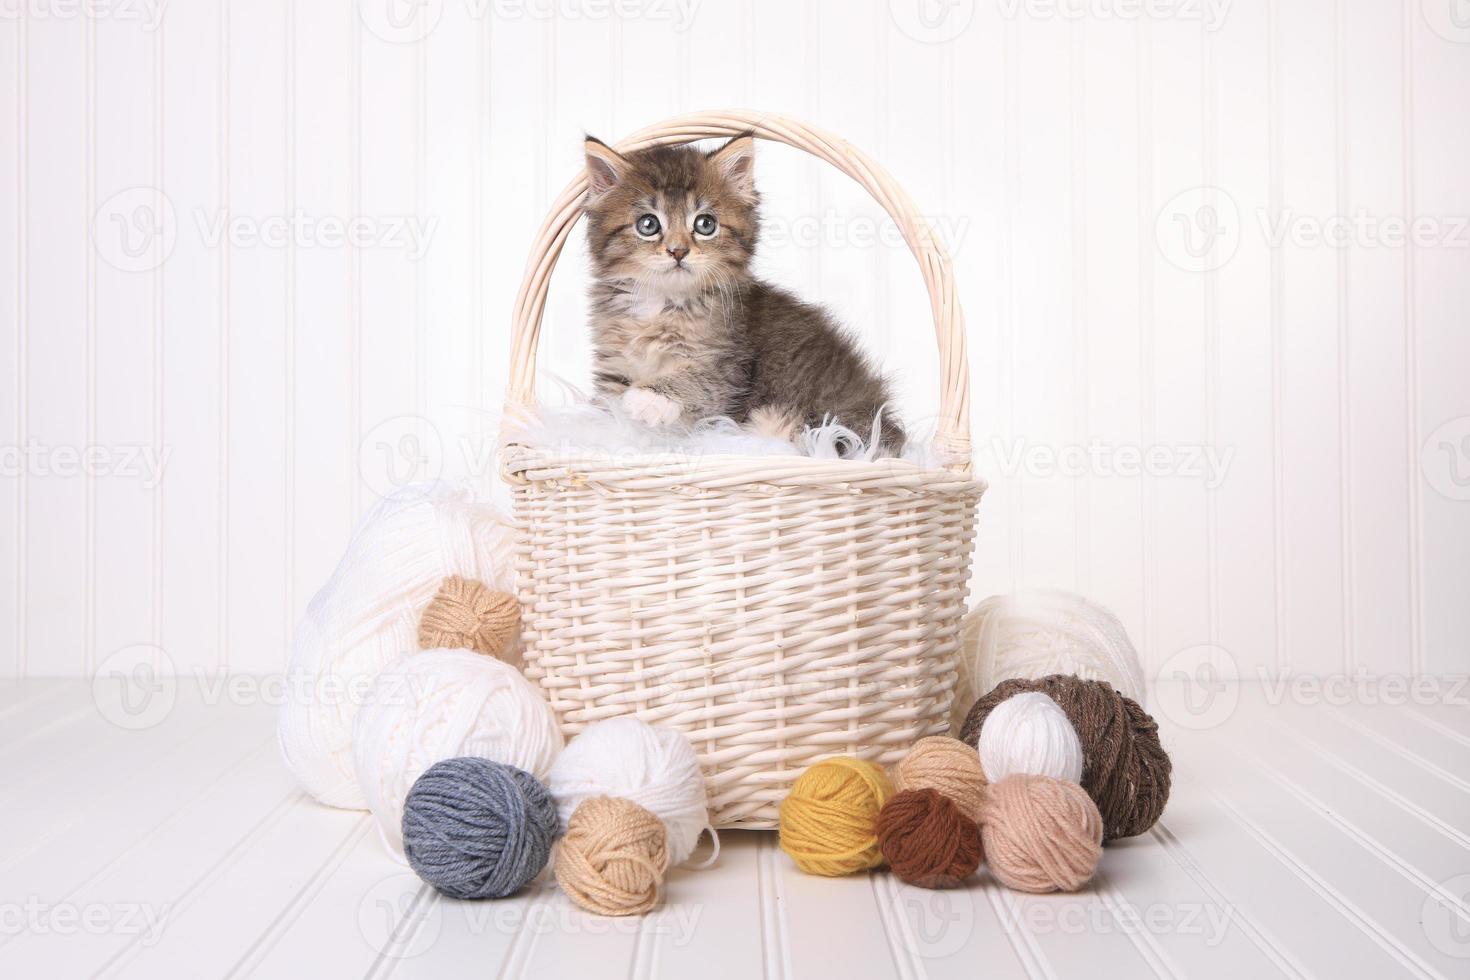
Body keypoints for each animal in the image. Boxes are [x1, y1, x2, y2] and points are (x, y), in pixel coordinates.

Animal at [579, 132, 899, 458]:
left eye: (705, 224)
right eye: (648, 224)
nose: (678, 251)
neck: (663, 305)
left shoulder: (729, 366)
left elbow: (698, 380)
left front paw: (647, 398)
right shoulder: (613, 366)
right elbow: (608, 404)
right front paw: (614, 426)